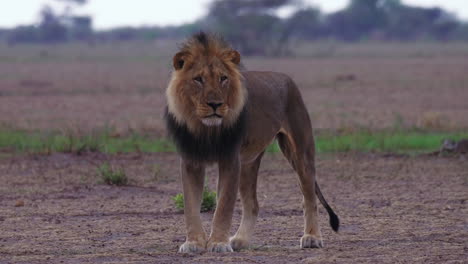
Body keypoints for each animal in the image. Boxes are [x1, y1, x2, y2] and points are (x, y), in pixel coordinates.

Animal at [165, 32, 340, 253]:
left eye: (223, 78)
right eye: (198, 79)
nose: (215, 104)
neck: (207, 129)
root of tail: (287, 78)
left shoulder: (230, 160)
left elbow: (223, 206)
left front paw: (219, 243)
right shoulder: (191, 161)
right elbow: (191, 206)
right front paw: (194, 243)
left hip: (300, 152)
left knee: (309, 198)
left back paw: (312, 238)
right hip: (248, 163)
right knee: (253, 204)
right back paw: (241, 240)